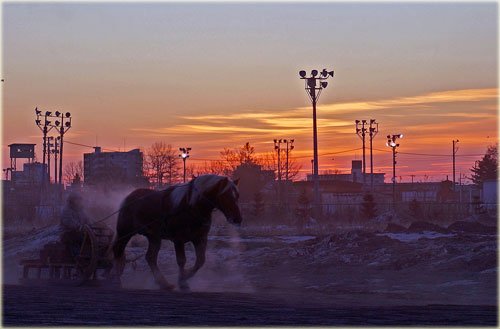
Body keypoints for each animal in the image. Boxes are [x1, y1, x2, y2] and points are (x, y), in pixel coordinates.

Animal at [111, 174, 242, 290]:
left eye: (237, 196)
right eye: (225, 195)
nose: (237, 219)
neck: (191, 206)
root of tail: (128, 197)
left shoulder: (200, 238)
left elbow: (200, 261)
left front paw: (186, 276)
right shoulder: (178, 240)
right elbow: (181, 260)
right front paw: (183, 281)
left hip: (154, 237)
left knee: (150, 257)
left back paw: (164, 283)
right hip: (124, 233)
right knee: (118, 251)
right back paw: (116, 281)